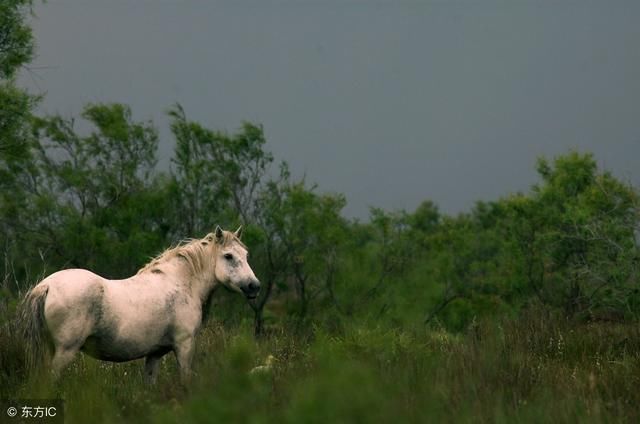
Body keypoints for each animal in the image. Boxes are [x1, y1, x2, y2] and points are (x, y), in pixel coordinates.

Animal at [20, 227, 260, 382]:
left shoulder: (154, 355)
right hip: (64, 351)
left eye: (247, 255)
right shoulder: (184, 346)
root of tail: (46, 286)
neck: (181, 282)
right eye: (228, 256)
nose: (254, 286)